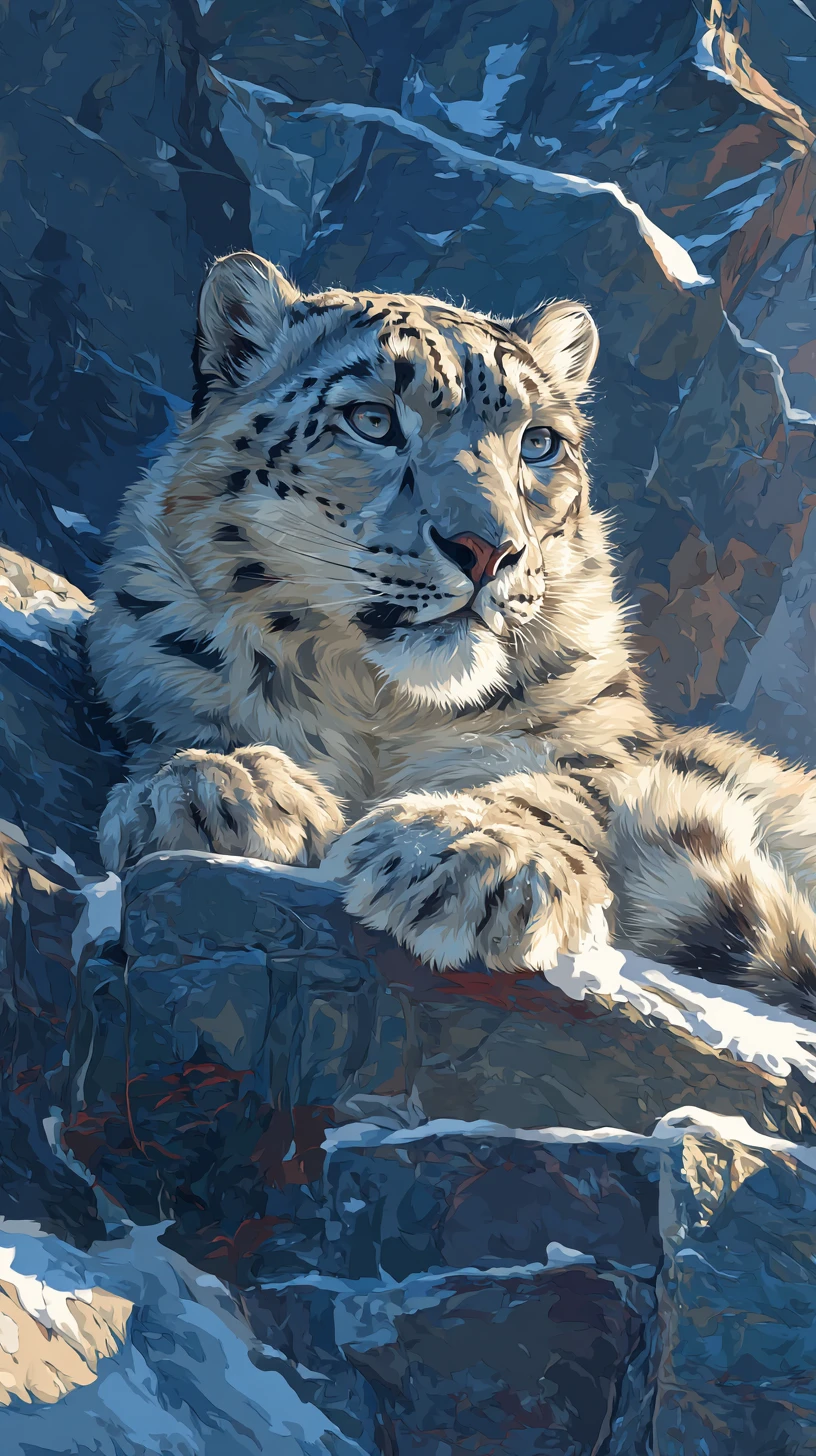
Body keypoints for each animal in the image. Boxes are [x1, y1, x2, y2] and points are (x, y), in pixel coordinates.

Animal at [88, 250, 816, 1019]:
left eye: (539, 442)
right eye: (373, 419)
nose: (489, 550)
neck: (382, 705)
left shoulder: (603, 742)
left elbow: (565, 789)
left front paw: (479, 856)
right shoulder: (154, 655)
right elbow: (196, 713)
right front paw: (228, 790)